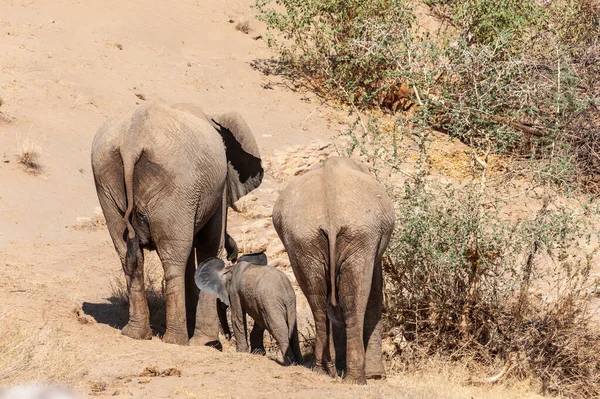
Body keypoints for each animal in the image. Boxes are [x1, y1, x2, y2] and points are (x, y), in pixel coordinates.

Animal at [91, 101, 262, 346]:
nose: (234, 254)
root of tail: (132, 141)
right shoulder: (216, 189)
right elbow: (210, 245)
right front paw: (207, 343)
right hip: (176, 184)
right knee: (174, 258)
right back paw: (176, 340)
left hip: (106, 178)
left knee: (128, 253)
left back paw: (136, 334)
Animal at [270, 156, 394, 384]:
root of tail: (331, 213)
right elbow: (374, 290)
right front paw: (377, 376)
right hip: (360, 234)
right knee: (354, 302)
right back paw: (357, 379)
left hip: (304, 240)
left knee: (319, 302)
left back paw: (325, 372)